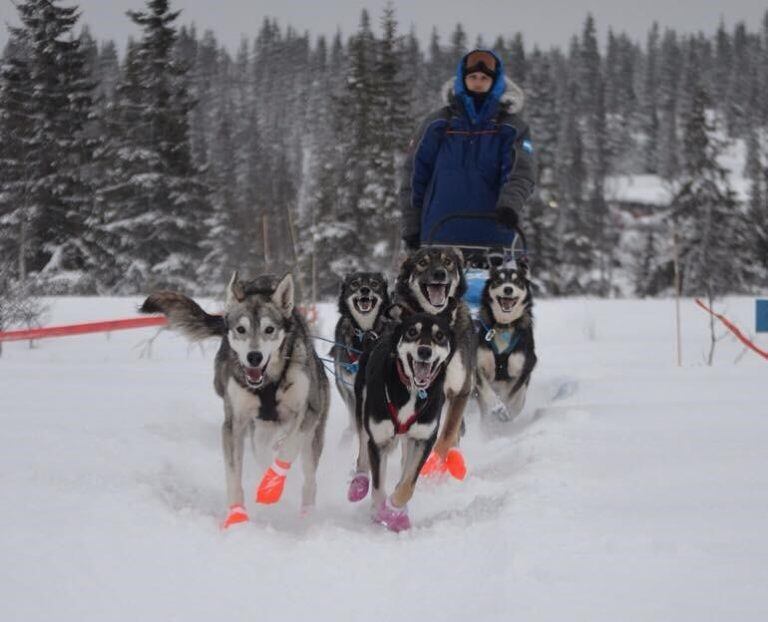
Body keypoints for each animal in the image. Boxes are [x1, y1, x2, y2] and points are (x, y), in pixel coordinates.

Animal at [140, 272, 328, 532]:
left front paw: (271, 486)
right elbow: (233, 474)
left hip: (312, 438)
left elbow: (289, 449)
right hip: (259, 431)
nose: (254, 356)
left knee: (309, 478)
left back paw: (305, 513)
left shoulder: (310, 410)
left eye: (269, 329)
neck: (268, 382)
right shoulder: (234, 424)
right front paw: (237, 516)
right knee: (263, 452)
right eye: (241, 329)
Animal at [352, 312, 456, 532]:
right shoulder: (379, 440)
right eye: (412, 332)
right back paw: (359, 483)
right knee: (363, 450)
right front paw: (380, 511)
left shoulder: (424, 439)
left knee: (404, 464)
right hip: (363, 408)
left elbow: (408, 484)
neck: (412, 390)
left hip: (410, 439)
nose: (424, 351)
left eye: (440, 336)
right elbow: (378, 486)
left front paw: (395, 508)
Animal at [392, 250, 476, 468]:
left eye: (448, 262)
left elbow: (447, 434)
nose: (439, 273)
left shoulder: (460, 390)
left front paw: (436, 465)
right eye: (422, 262)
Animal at [476, 264, 536, 424]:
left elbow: (513, 395)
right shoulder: (478, 365)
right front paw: (497, 406)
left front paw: (507, 409)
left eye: (517, 281)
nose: (508, 289)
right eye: (499, 280)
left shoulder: (524, 368)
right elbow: (486, 391)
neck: (504, 326)